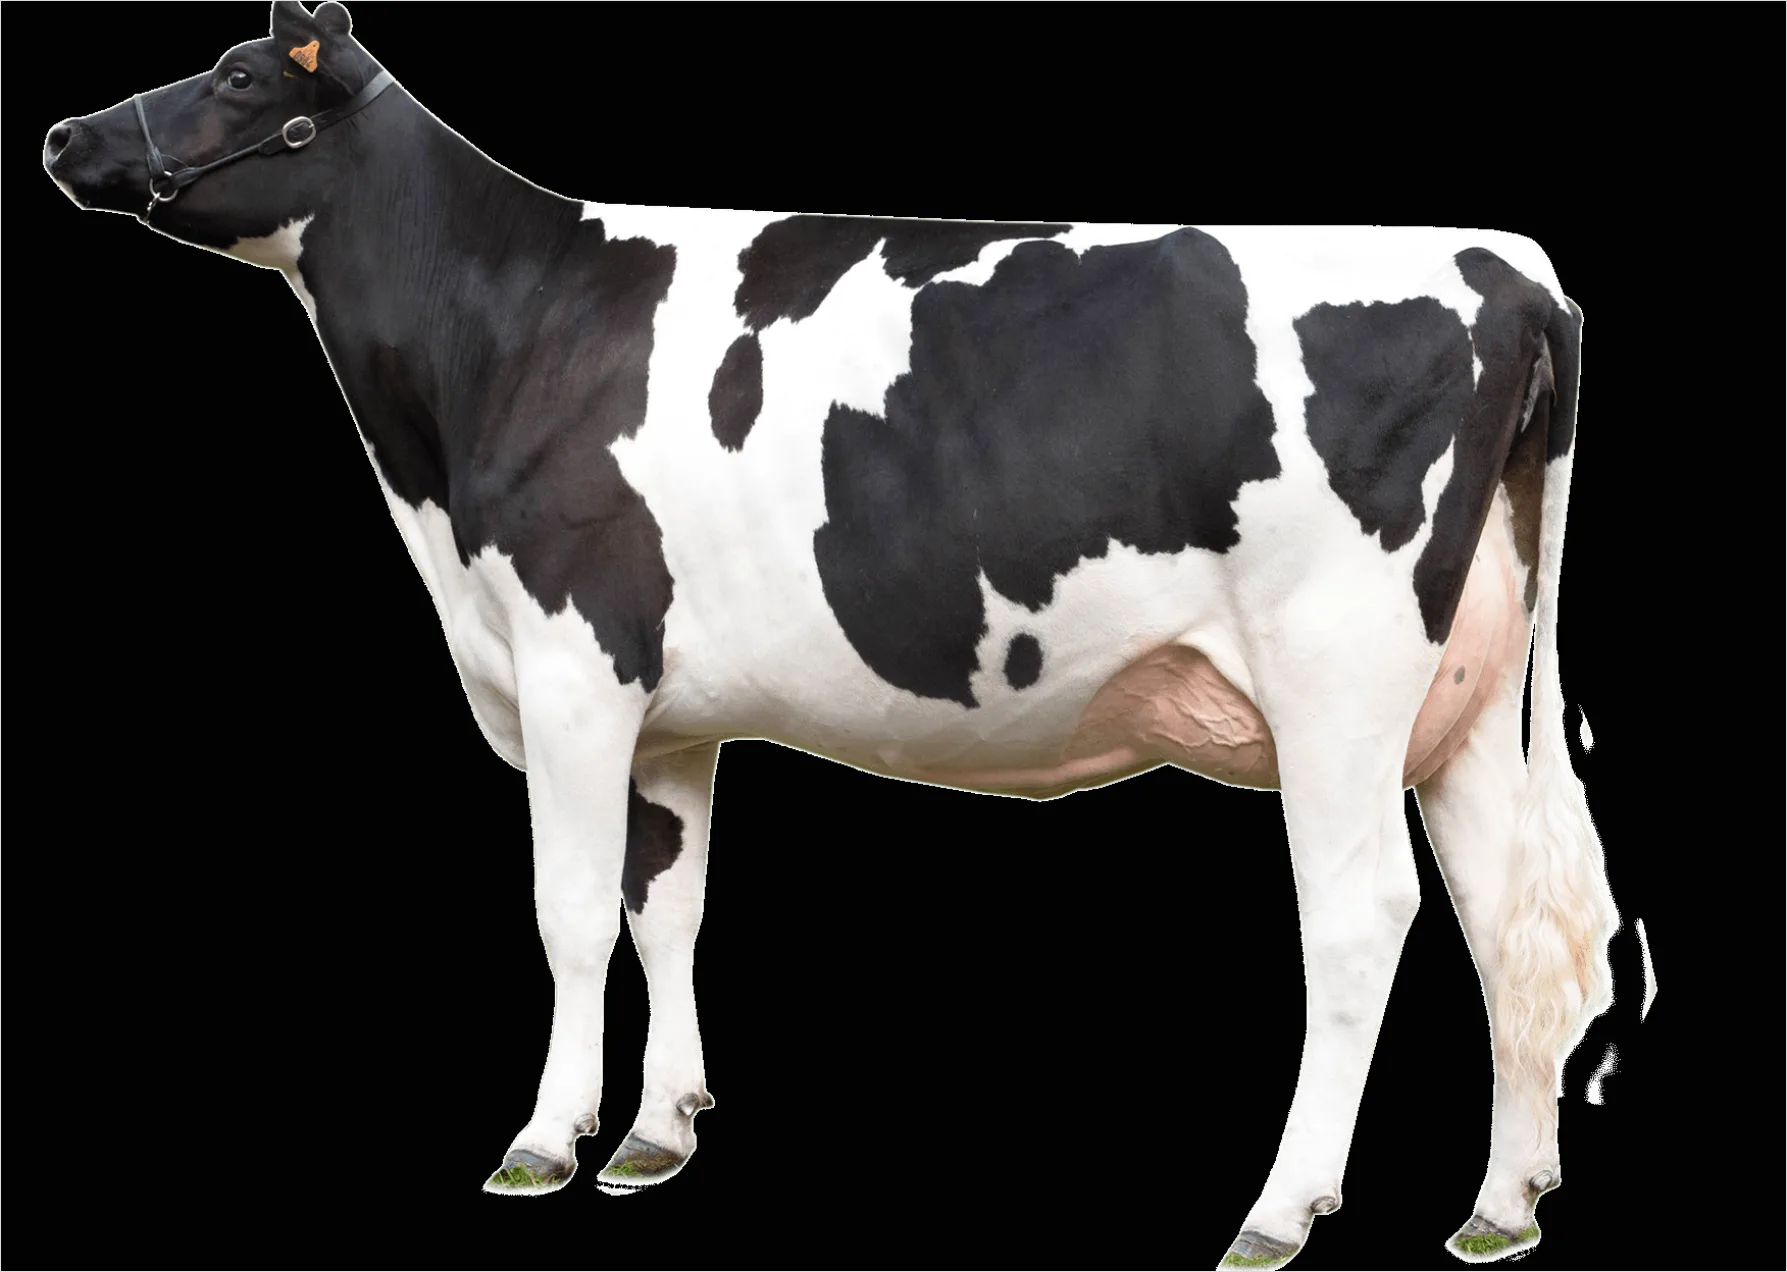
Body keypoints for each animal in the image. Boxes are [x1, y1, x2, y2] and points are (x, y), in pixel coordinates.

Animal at [43, 5, 1616, 1265]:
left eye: (239, 73)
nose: (62, 132)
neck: (491, 354)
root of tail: (1509, 270)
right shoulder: (668, 710)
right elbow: (664, 906)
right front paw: (658, 1130)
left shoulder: (570, 661)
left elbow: (569, 913)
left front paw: (545, 1140)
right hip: (1465, 700)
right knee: (1507, 919)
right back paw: (1499, 1204)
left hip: (1337, 682)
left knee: (1359, 921)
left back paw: (1277, 1213)